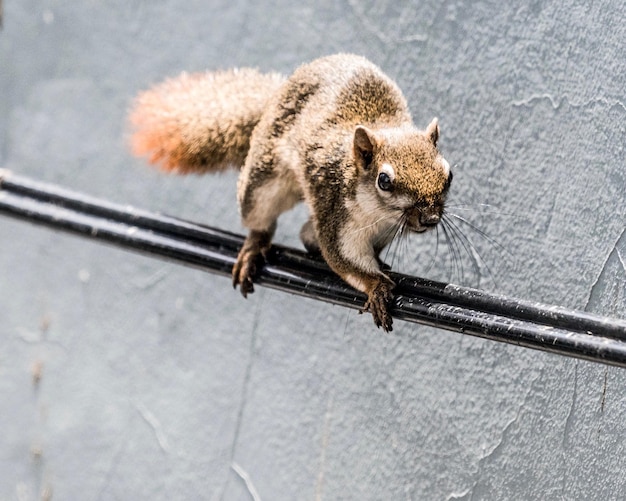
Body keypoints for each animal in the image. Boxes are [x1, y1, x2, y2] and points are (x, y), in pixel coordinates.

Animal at [128, 53, 448, 332]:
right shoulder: (335, 211)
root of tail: (273, 101)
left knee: (307, 233)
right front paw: (376, 285)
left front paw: (379, 267)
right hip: (261, 182)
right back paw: (255, 245)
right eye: (384, 180)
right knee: (261, 218)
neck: (378, 213)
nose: (430, 218)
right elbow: (343, 258)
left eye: (449, 174)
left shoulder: (383, 230)